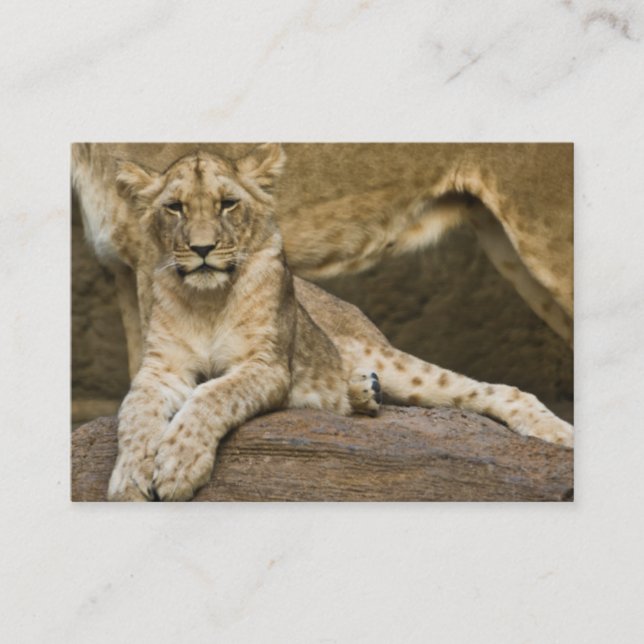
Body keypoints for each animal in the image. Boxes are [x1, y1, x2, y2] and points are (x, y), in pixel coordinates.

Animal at [103, 145, 572, 501]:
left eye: (227, 204)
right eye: (175, 208)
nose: (202, 249)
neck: (207, 300)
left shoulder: (267, 365)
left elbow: (212, 396)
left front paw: (178, 465)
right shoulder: (159, 369)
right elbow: (135, 414)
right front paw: (129, 479)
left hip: (396, 363)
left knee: (494, 390)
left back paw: (557, 434)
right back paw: (362, 392)